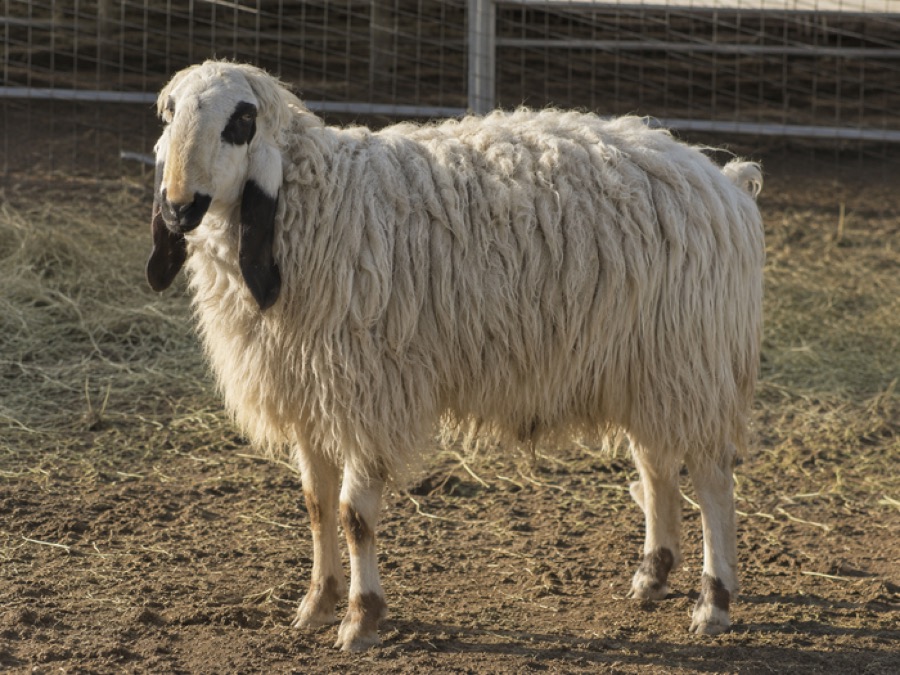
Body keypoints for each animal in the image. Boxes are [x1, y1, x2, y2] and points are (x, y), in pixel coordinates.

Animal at [146, 60, 764, 651]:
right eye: (168, 115)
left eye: (241, 121)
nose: (178, 210)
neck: (319, 206)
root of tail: (724, 181)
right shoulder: (309, 396)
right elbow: (316, 504)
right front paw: (317, 604)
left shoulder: (369, 396)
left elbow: (353, 516)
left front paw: (361, 619)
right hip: (645, 367)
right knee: (656, 466)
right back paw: (651, 577)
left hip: (689, 359)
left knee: (712, 480)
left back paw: (713, 603)